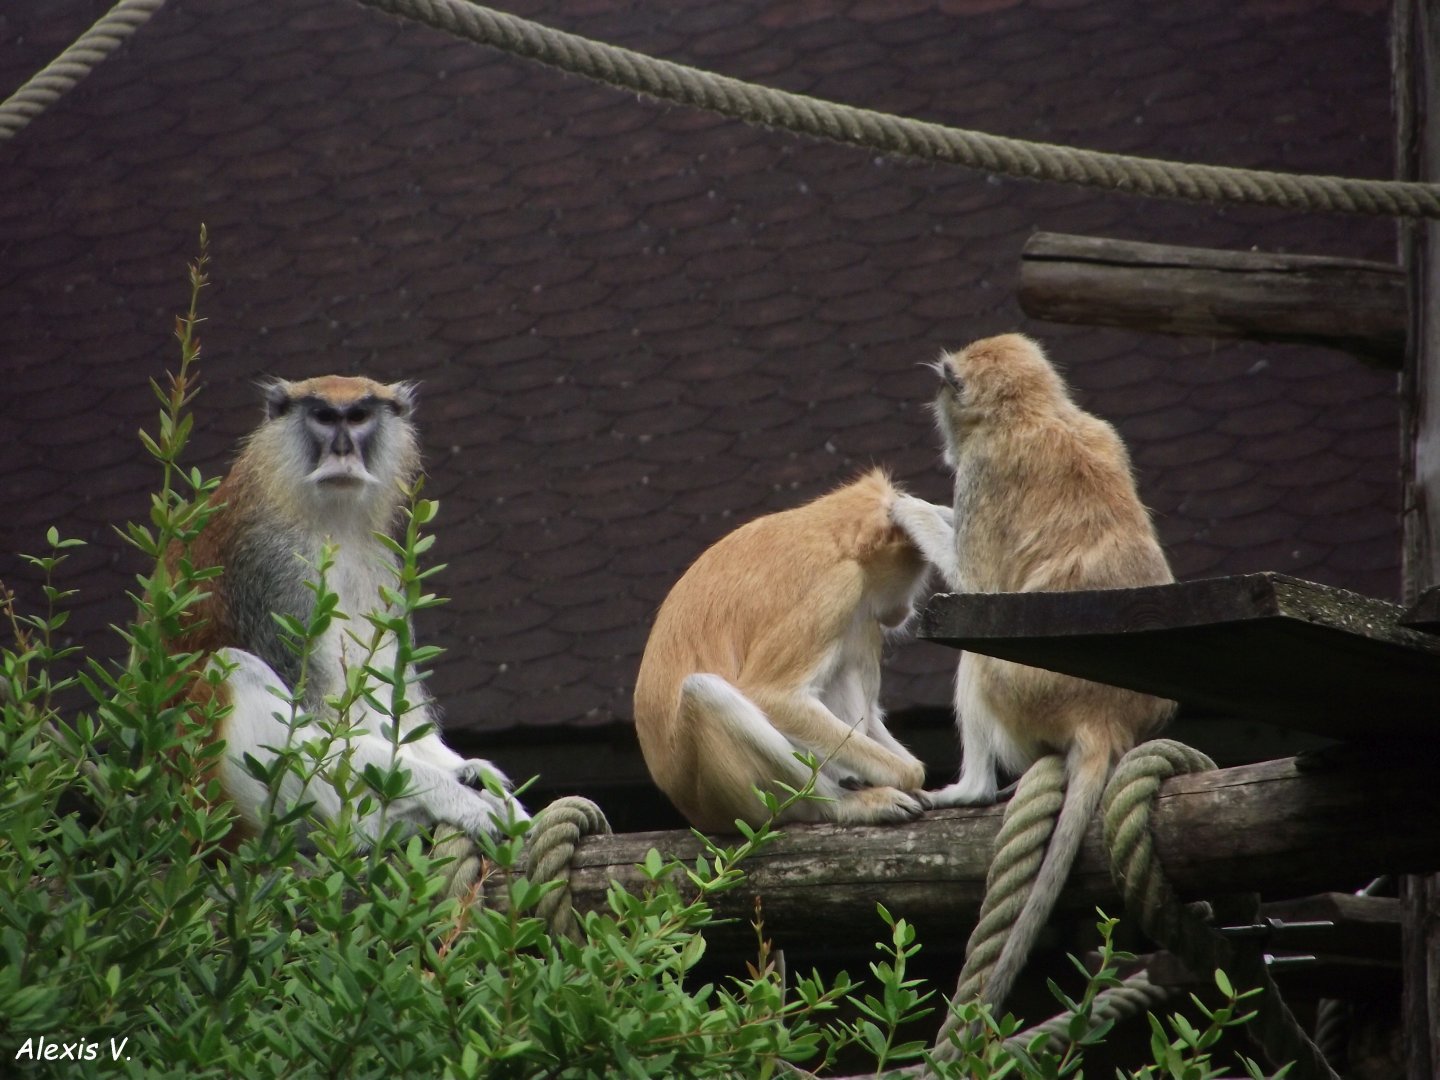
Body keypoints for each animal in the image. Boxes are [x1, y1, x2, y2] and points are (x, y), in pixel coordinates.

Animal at [171, 375, 527, 845]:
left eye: (357, 417)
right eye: (324, 417)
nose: (342, 449)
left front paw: (472, 772)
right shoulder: (276, 568)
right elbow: (324, 726)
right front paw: (456, 797)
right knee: (232, 669)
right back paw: (371, 829)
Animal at [633, 469, 954, 833]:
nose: (903, 612)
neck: (831, 533)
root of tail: (693, 812)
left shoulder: (860, 609)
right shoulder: (837, 588)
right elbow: (773, 696)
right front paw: (910, 776)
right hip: (731, 799)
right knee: (704, 693)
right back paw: (844, 804)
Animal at [890, 333, 1176, 1011]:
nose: (935, 415)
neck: (1033, 411)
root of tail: (1103, 716)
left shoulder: (983, 472)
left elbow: (970, 592)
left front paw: (902, 506)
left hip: (1024, 695)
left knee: (976, 652)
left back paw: (969, 789)